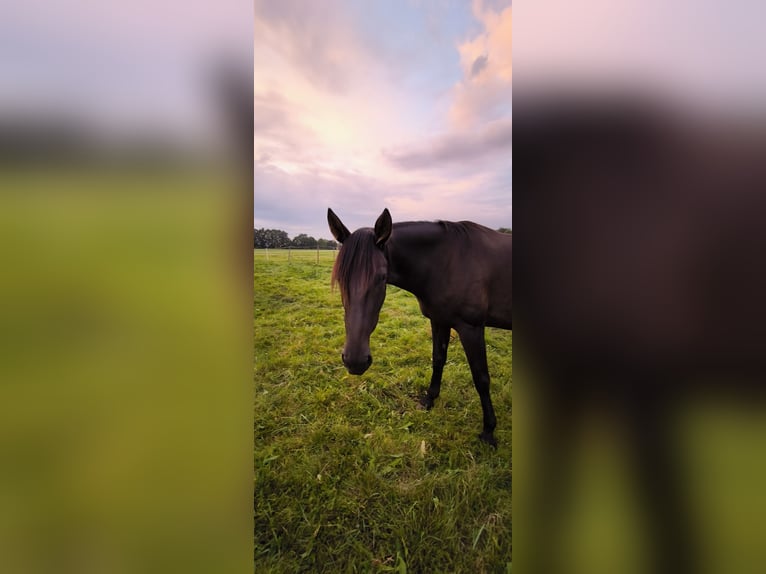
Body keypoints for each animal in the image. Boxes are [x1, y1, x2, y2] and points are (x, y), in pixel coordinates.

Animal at [328, 209, 512, 448]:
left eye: (381, 277)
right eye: (341, 278)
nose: (355, 361)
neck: (447, 262)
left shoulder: (472, 328)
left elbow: (481, 378)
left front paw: (488, 431)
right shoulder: (440, 320)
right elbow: (438, 359)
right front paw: (429, 399)